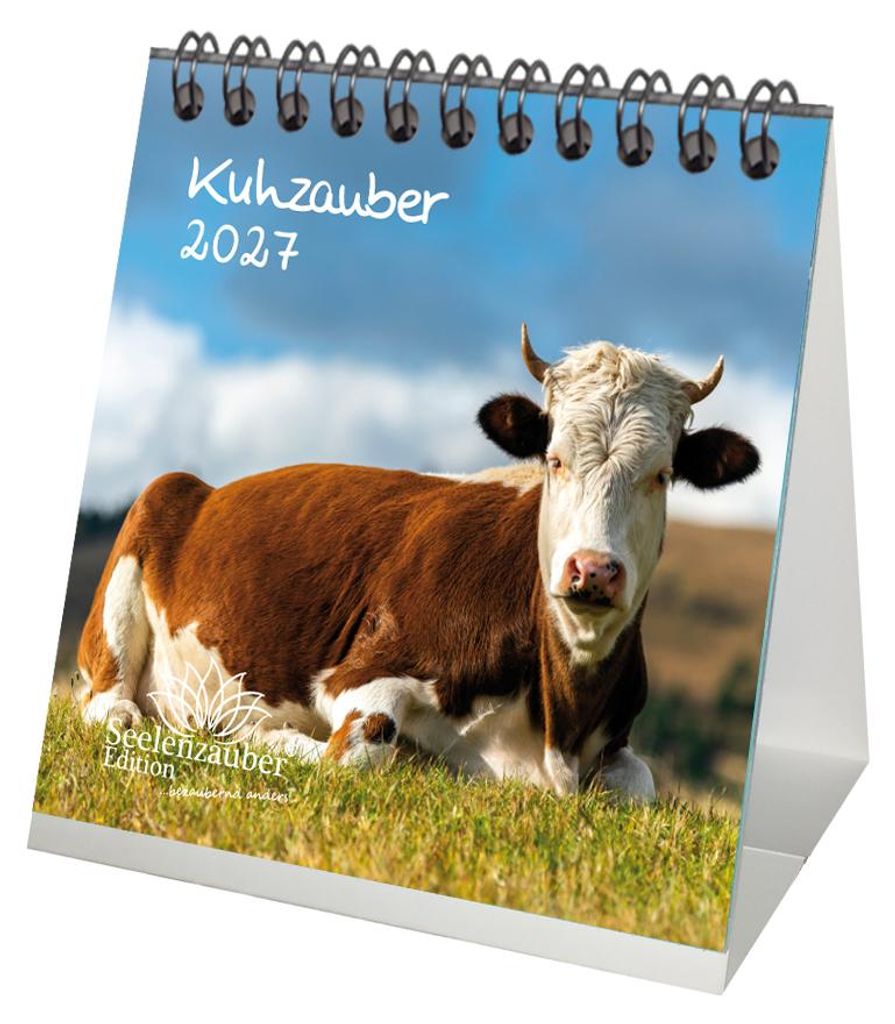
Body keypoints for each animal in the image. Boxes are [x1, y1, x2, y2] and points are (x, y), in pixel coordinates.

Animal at [78, 327, 759, 800]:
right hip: (144, 533)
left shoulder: (618, 740)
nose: (592, 570)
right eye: (554, 458)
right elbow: (358, 751)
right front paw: (275, 737)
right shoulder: (362, 672)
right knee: (113, 707)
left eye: (661, 475)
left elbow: (643, 787)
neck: (555, 726)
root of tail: (209, 488)